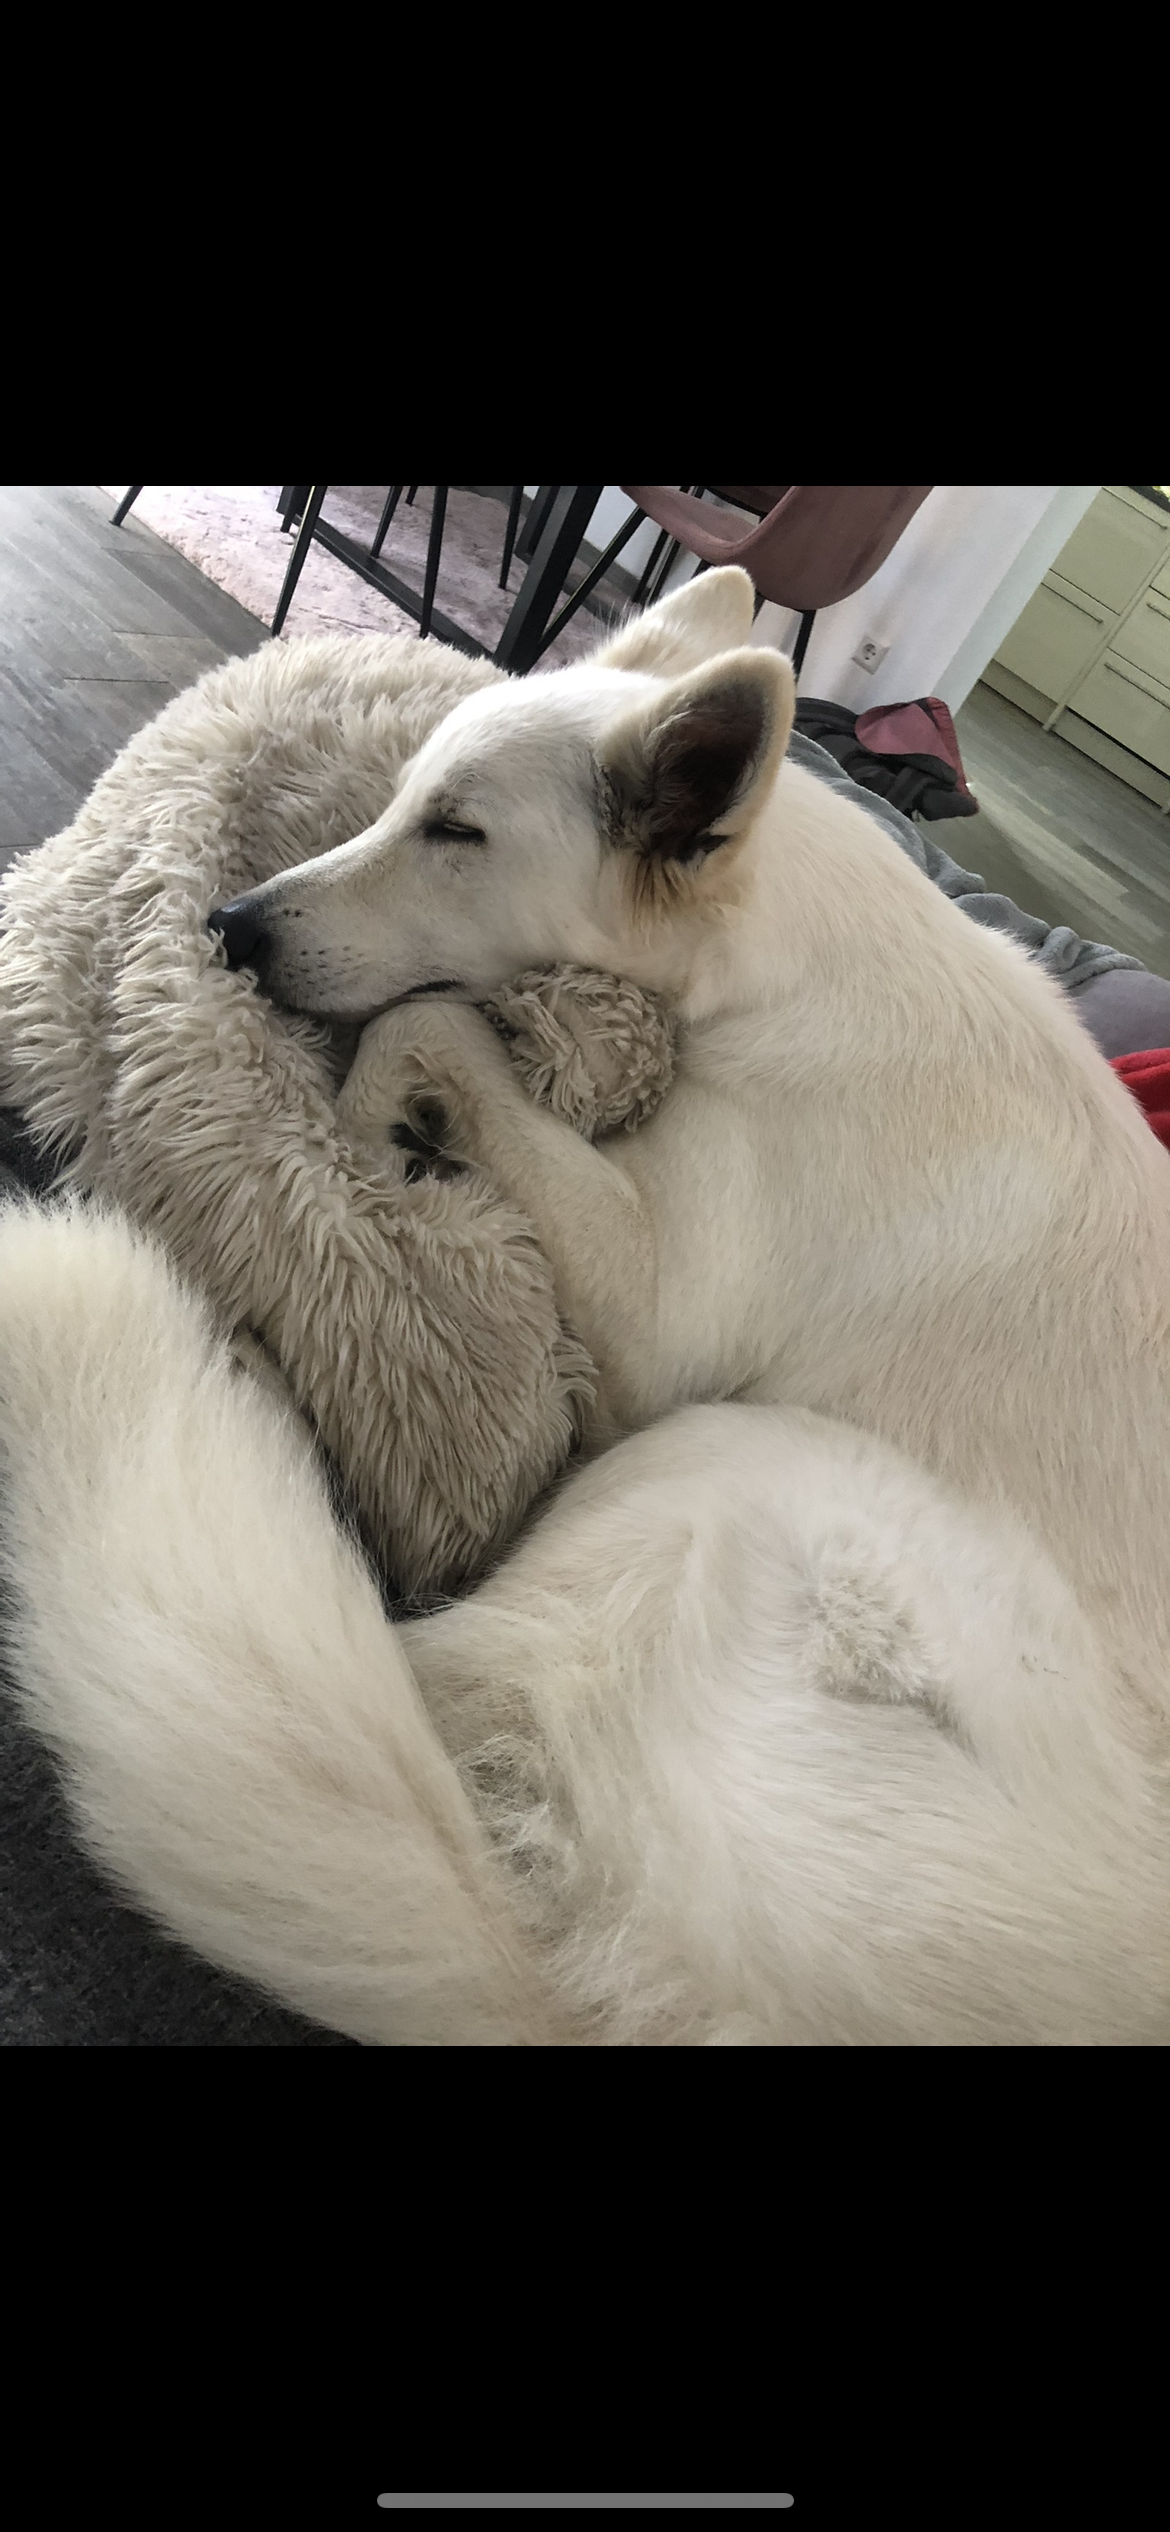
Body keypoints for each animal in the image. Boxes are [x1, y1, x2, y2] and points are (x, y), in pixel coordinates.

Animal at [2, 564, 1170, 2045]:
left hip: (738, 1454)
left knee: (385, 1660)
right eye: (400, 798)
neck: (781, 971)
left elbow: (429, 1022)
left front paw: (367, 1124)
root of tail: (589, 1986)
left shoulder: (660, 1304)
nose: (229, 927)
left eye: (455, 831)